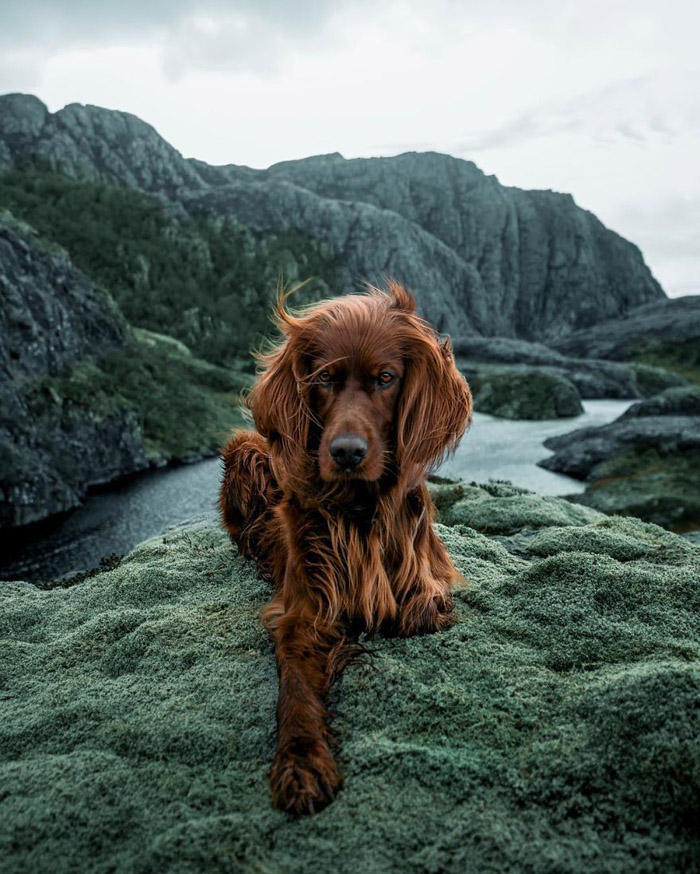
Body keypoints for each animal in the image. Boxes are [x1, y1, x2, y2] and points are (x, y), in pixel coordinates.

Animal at [219, 280, 470, 812]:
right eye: (324, 379)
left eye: (385, 378)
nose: (347, 453)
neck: (358, 509)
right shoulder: (303, 610)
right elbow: (295, 689)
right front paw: (300, 761)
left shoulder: (427, 582)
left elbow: (415, 610)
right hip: (244, 447)